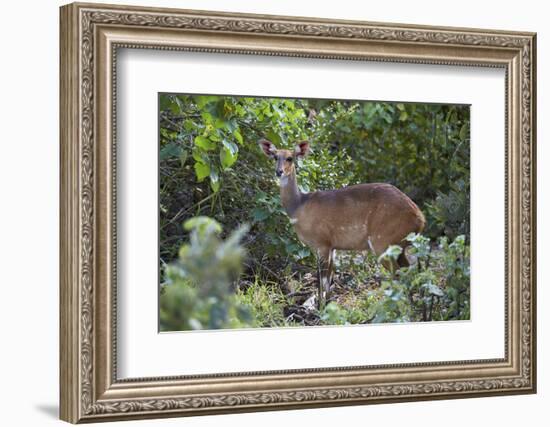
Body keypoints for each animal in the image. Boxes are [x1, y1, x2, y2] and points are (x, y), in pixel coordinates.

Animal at [260, 140, 426, 308]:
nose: (279, 172)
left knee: (399, 275)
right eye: (275, 157)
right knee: (410, 272)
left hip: (383, 242)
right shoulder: (332, 247)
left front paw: (319, 309)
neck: (299, 206)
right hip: (400, 246)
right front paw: (326, 306)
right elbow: (329, 280)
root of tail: (420, 218)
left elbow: (322, 280)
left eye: (290, 158)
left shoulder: (322, 243)